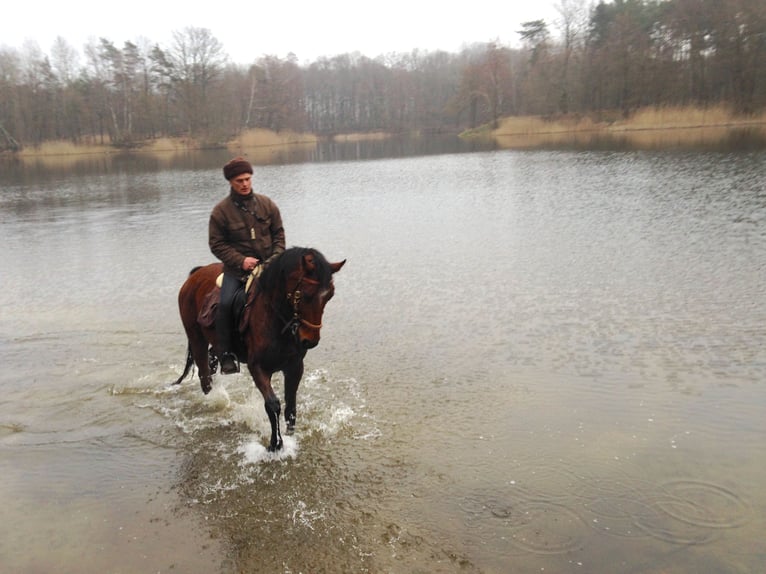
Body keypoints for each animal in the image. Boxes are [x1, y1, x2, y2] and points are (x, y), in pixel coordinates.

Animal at [173, 247, 345, 451]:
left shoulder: (295, 367)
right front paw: (275, 444)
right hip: (196, 338)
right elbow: (273, 405)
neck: (275, 320)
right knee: (205, 377)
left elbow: (291, 406)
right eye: (303, 295)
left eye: (329, 295)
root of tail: (195, 275)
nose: (310, 341)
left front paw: (290, 437)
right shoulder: (258, 368)